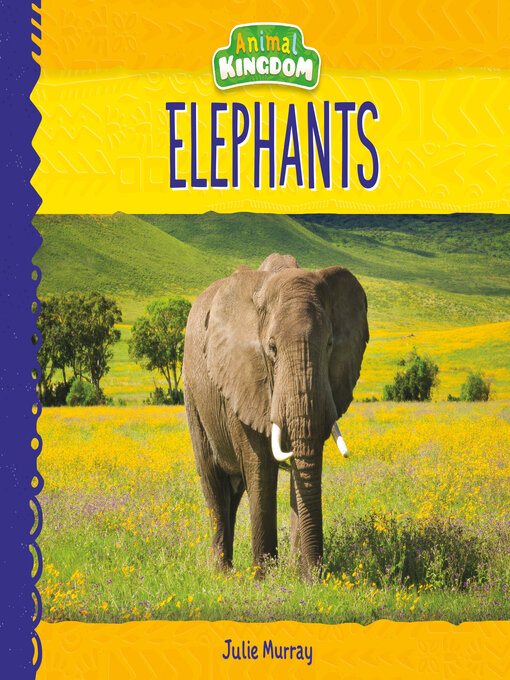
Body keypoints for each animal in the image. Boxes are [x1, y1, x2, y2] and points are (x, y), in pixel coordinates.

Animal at [182, 253, 368, 577]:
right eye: (272, 348)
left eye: (330, 344)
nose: (317, 573)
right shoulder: (242, 376)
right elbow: (260, 470)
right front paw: (265, 578)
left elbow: (302, 463)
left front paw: (298, 575)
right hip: (193, 394)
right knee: (214, 482)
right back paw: (222, 574)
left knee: (233, 491)